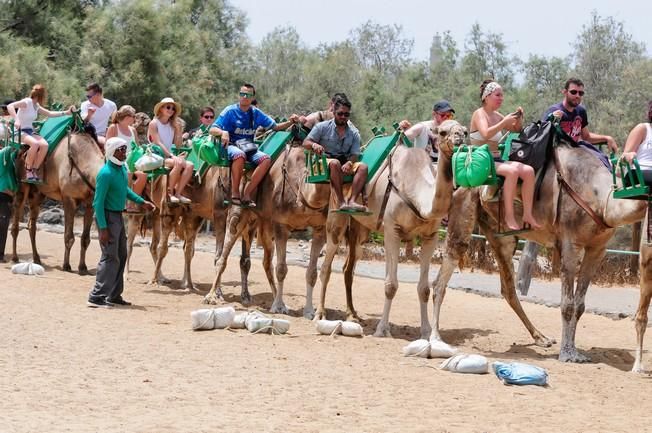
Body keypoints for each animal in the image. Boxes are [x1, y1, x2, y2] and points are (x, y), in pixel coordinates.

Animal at [314, 119, 466, 338]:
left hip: (360, 228)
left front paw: (426, 331)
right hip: (336, 214)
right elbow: (390, 285)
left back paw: (353, 314)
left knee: (348, 268)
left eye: (465, 130)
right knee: (327, 265)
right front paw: (382, 330)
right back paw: (319, 313)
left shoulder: (430, 236)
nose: (460, 137)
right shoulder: (392, 229)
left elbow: (423, 288)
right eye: (443, 131)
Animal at [430, 138, 644, 362]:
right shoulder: (571, 243)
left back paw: (542, 338)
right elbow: (568, 304)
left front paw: (574, 350)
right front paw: (568, 354)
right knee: (444, 274)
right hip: (464, 207)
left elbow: (580, 305)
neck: (602, 200)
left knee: (507, 288)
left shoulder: (598, 248)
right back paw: (435, 337)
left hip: (501, 235)